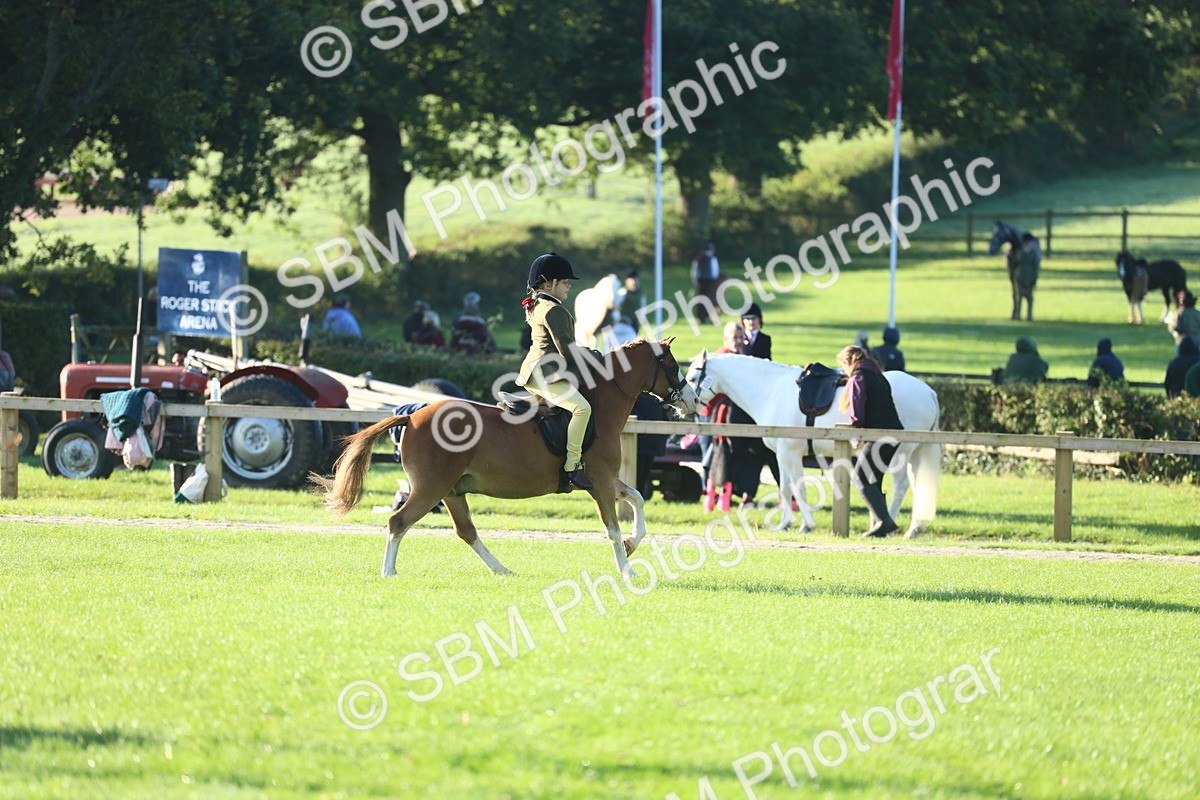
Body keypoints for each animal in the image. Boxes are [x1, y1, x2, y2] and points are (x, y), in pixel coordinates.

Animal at [314, 339, 699, 577]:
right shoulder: (601, 484)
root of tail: (414, 414)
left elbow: (637, 499)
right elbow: (613, 529)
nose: (693, 402)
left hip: (451, 491)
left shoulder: (603, 482)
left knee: (465, 531)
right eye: (673, 367)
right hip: (430, 488)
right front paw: (626, 568)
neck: (601, 405)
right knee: (399, 522)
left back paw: (500, 569)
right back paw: (389, 571)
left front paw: (634, 546)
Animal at [686, 353, 941, 537]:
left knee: (901, 486)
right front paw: (785, 524)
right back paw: (912, 528)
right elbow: (785, 488)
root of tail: (928, 391)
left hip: (901, 453)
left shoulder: (790, 453)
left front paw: (806, 525)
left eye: (691, 378)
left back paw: (889, 525)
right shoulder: (781, 455)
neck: (772, 390)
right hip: (916, 452)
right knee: (917, 486)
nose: (688, 406)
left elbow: (798, 489)